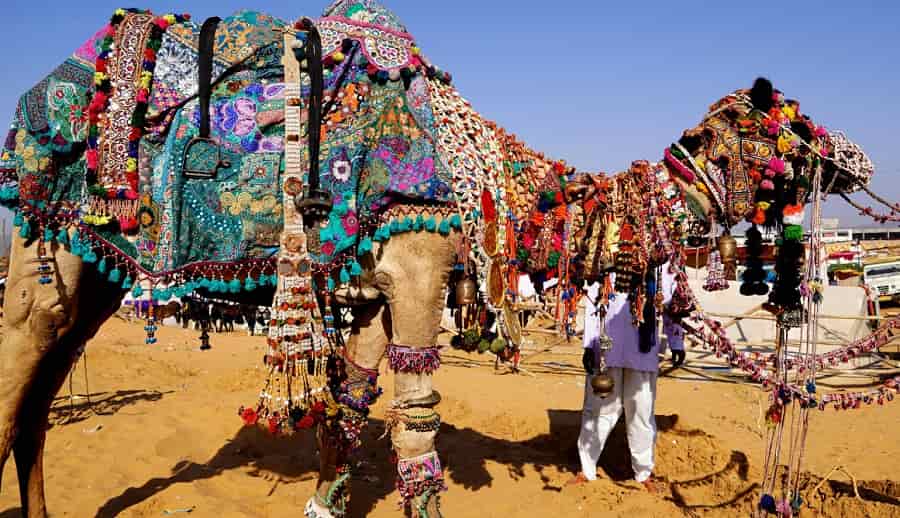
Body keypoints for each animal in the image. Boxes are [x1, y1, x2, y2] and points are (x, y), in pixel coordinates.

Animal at [0, 1, 880, 518]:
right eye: (787, 121)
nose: (857, 157)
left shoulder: (367, 290)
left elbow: (351, 410)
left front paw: (324, 500)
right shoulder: (416, 268)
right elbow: (416, 430)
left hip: (92, 267)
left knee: (37, 399)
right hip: (51, 247)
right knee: (19, 381)